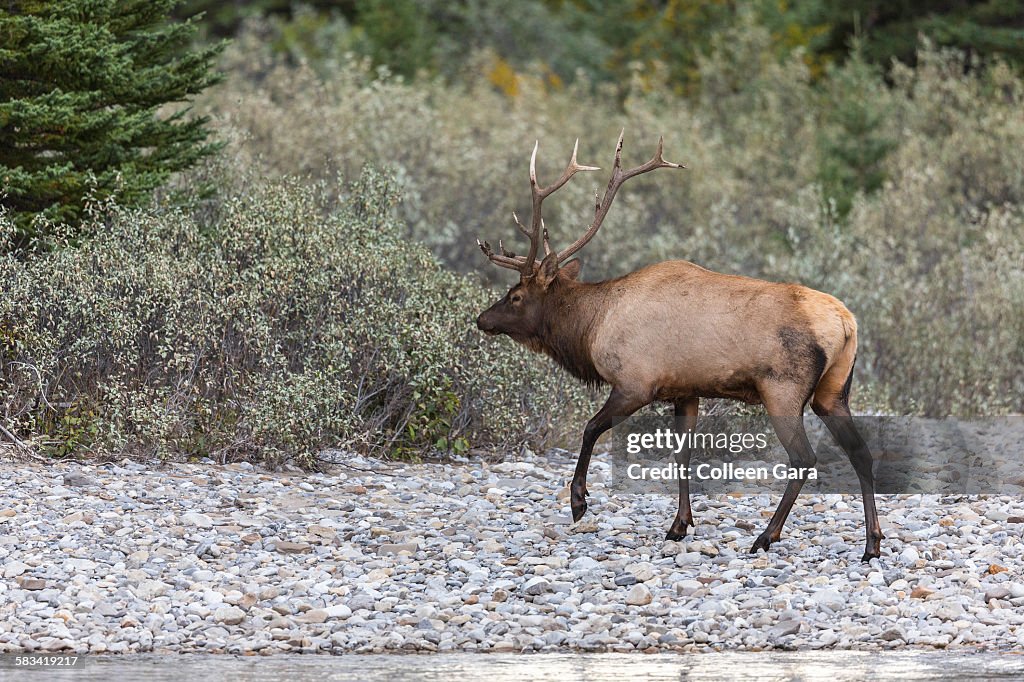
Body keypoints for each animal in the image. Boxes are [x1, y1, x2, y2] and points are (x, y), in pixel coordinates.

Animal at [475, 131, 884, 557]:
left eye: (515, 296)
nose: (482, 319)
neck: (592, 326)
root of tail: (846, 322)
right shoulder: (685, 390)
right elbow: (682, 454)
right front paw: (680, 524)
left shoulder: (635, 383)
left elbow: (590, 429)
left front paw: (578, 500)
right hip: (833, 392)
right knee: (861, 453)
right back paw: (871, 543)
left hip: (783, 389)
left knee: (804, 457)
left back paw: (766, 536)